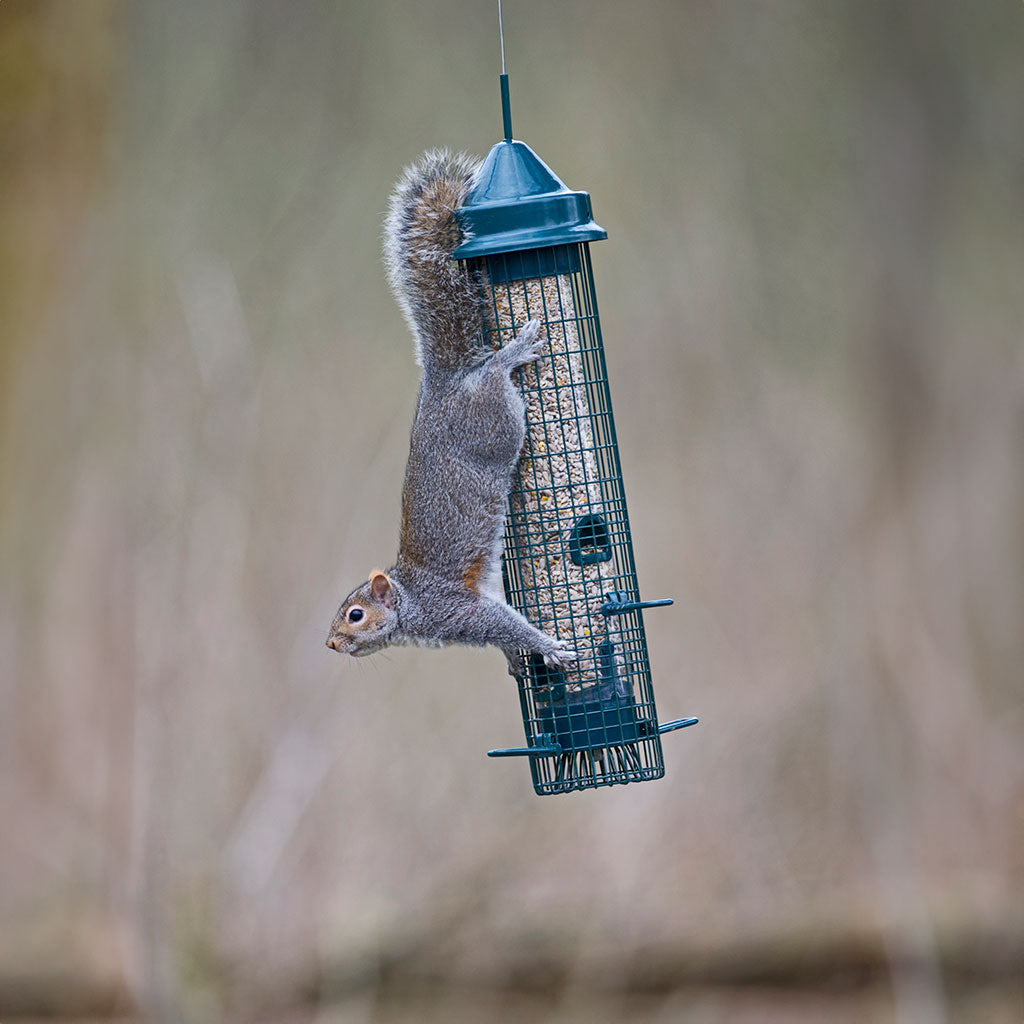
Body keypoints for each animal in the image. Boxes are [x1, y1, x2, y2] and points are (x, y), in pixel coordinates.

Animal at [326, 149, 576, 677]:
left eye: (356, 615)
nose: (331, 644)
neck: (410, 603)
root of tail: (448, 380)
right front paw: (517, 659)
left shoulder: (455, 610)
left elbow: (503, 622)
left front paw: (549, 647)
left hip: (495, 422)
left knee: (496, 376)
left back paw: (512, 352)